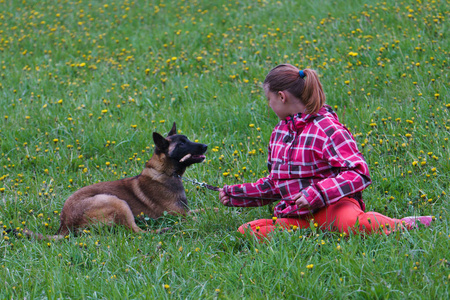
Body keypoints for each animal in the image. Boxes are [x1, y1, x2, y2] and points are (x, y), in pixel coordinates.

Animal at [25, 122, 207, 239]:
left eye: (187, 139)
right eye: (182, 144)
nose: (205, 146)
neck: (165, 172)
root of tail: (65, 225)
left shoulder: (187, 211)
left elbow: (205, 210)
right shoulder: (181, 215)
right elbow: (199, 217)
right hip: (117, 202)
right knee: (138, 232)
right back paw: (167, 229)